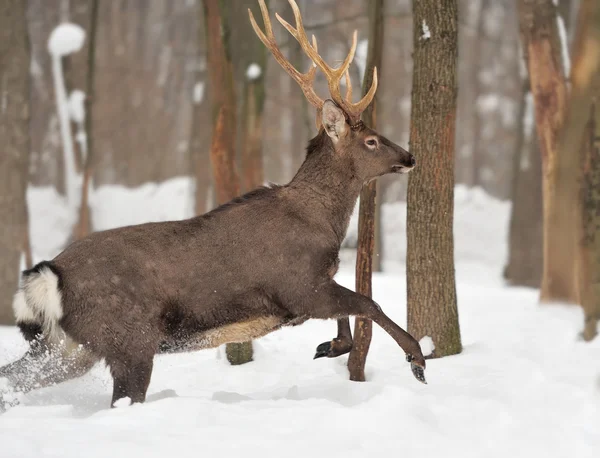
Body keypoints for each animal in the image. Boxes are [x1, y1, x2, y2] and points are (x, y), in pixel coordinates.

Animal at [1, 0, 426, 408]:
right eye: (371, 141)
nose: (409, 157)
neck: (322, 221)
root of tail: (49, 274)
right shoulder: (299, 285)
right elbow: (368, 303)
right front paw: (417, 360)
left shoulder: (313, 288)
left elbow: (350, 315)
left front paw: (330, 346)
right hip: (129, 338)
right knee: (122, 397)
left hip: (69, 346)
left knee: (13, 378)